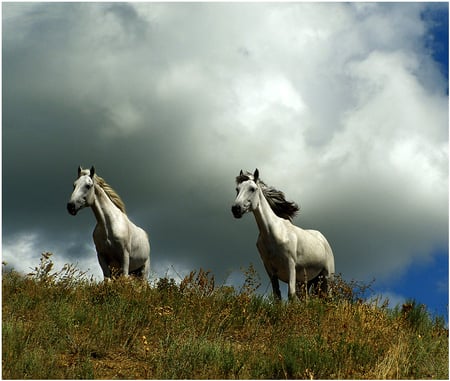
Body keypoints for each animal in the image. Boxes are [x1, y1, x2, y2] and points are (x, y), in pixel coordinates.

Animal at [232, 169, 334, 300]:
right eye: (237, 189)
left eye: (252, 189)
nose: (236, 209)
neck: (273, 233)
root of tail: (323, 239)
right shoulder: (270, 270)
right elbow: (277, 296)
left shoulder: (290, 265)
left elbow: (291, 294)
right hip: (307, 282)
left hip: (327, 277)